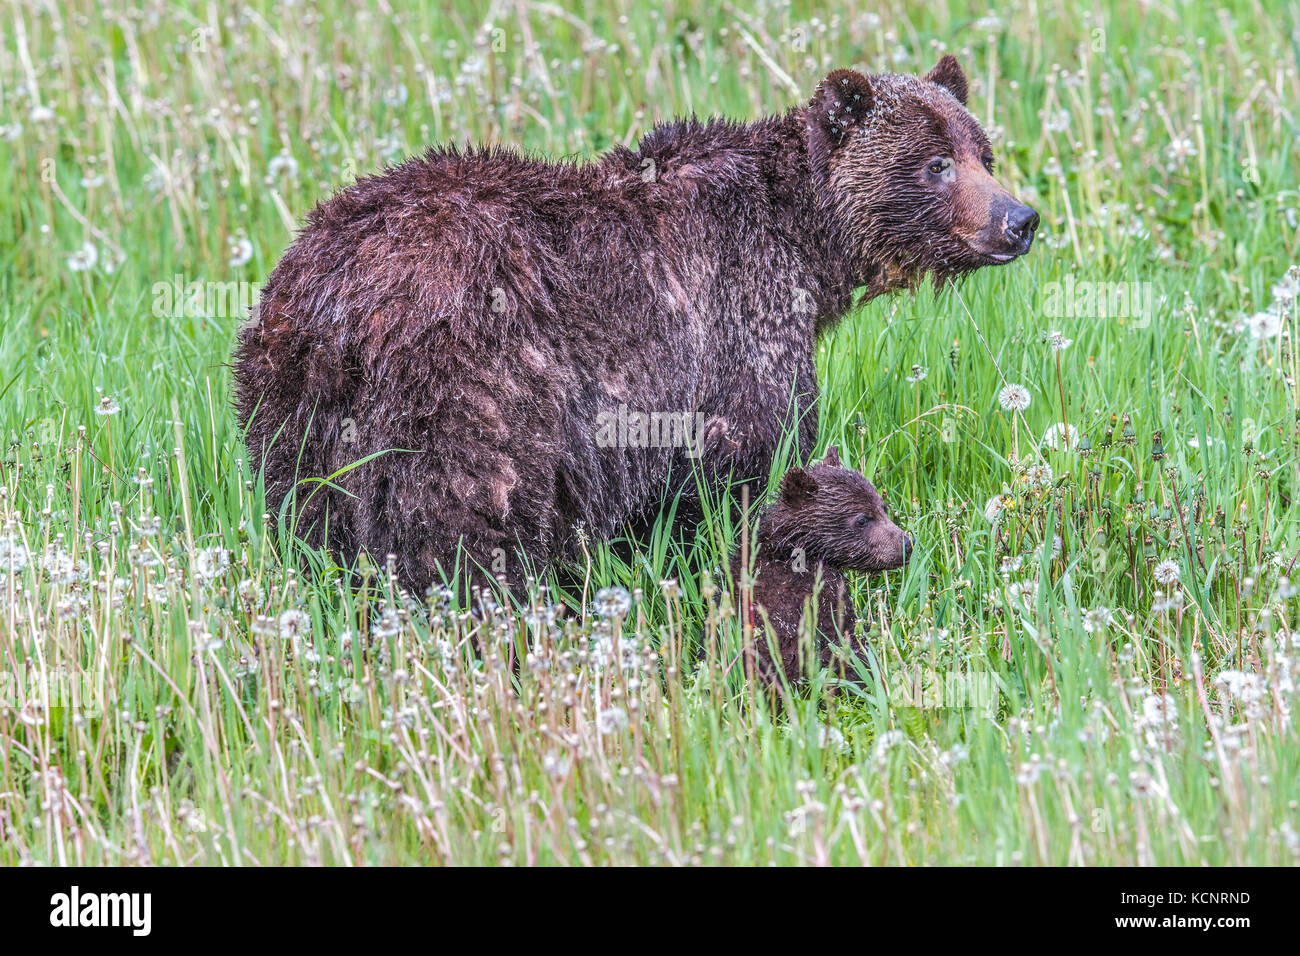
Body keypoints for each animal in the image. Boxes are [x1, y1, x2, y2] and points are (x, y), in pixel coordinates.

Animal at [236, 55, 1034, 590]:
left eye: (984, 152)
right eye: (934, 162)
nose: (1019, 220)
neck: (808, 247)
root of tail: (332, 300)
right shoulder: (736, 330)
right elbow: (746, 466)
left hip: (292, 406)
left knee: (313, 518)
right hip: (468, 387)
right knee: (461, 523)